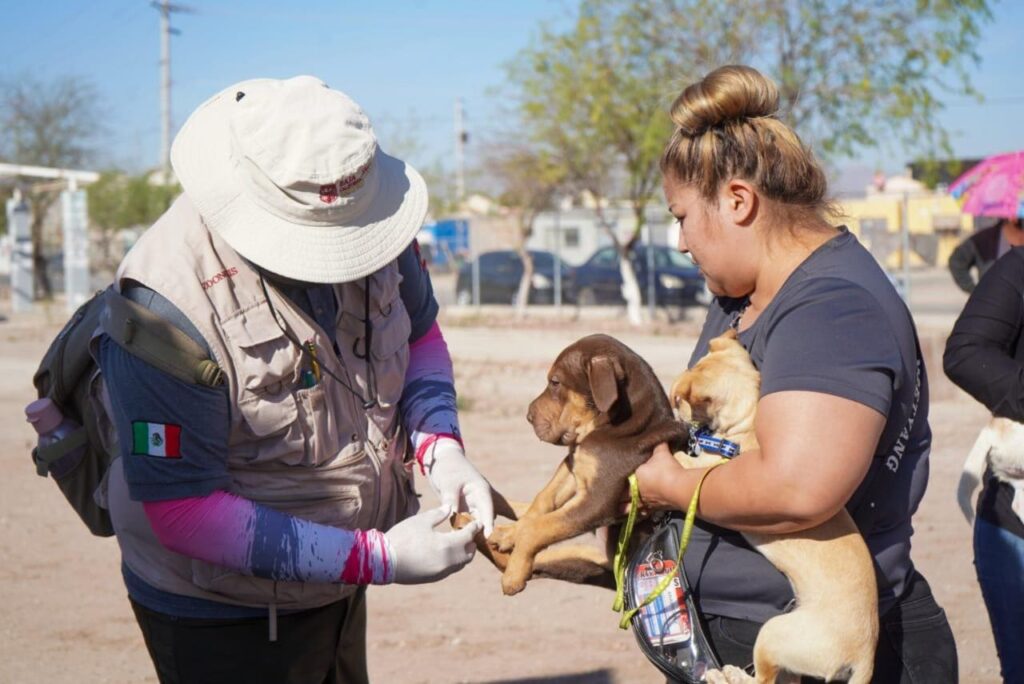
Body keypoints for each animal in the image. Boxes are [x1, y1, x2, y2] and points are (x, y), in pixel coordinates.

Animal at [487, 333, 688, 593]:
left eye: (555, 382)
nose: (528, 416)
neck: (618, 425)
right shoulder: (575, 464)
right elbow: (543, 501)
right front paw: (511, 533)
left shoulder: (597, 500)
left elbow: (542, 526)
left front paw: (514, 574)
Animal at [671, 327, 880, 679]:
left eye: (677, 399)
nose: (674, 409)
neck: (749, 421)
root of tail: (866, 652)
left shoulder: (706, 469)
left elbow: (681, 461)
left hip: (771, 633)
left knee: (762, 679)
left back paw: (726, 675)